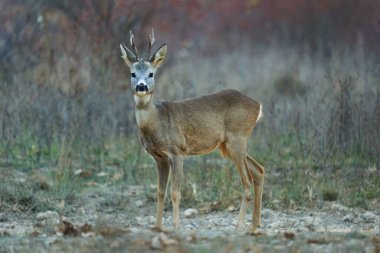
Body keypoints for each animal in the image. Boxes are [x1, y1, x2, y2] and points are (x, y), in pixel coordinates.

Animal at [120, 29, 266, 233]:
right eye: (133, 73)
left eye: (151, 73)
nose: (142, 86)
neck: (157, 121)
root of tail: (257, 105)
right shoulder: (159, 157)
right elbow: (160, 192)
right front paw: (157, 227)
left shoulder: (176, 151)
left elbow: (175, 192)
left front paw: (175, 227)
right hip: (227, 146)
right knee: (259, 170)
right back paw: (253, 226)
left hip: (237, 139)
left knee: (247, 181)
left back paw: (239, 227)